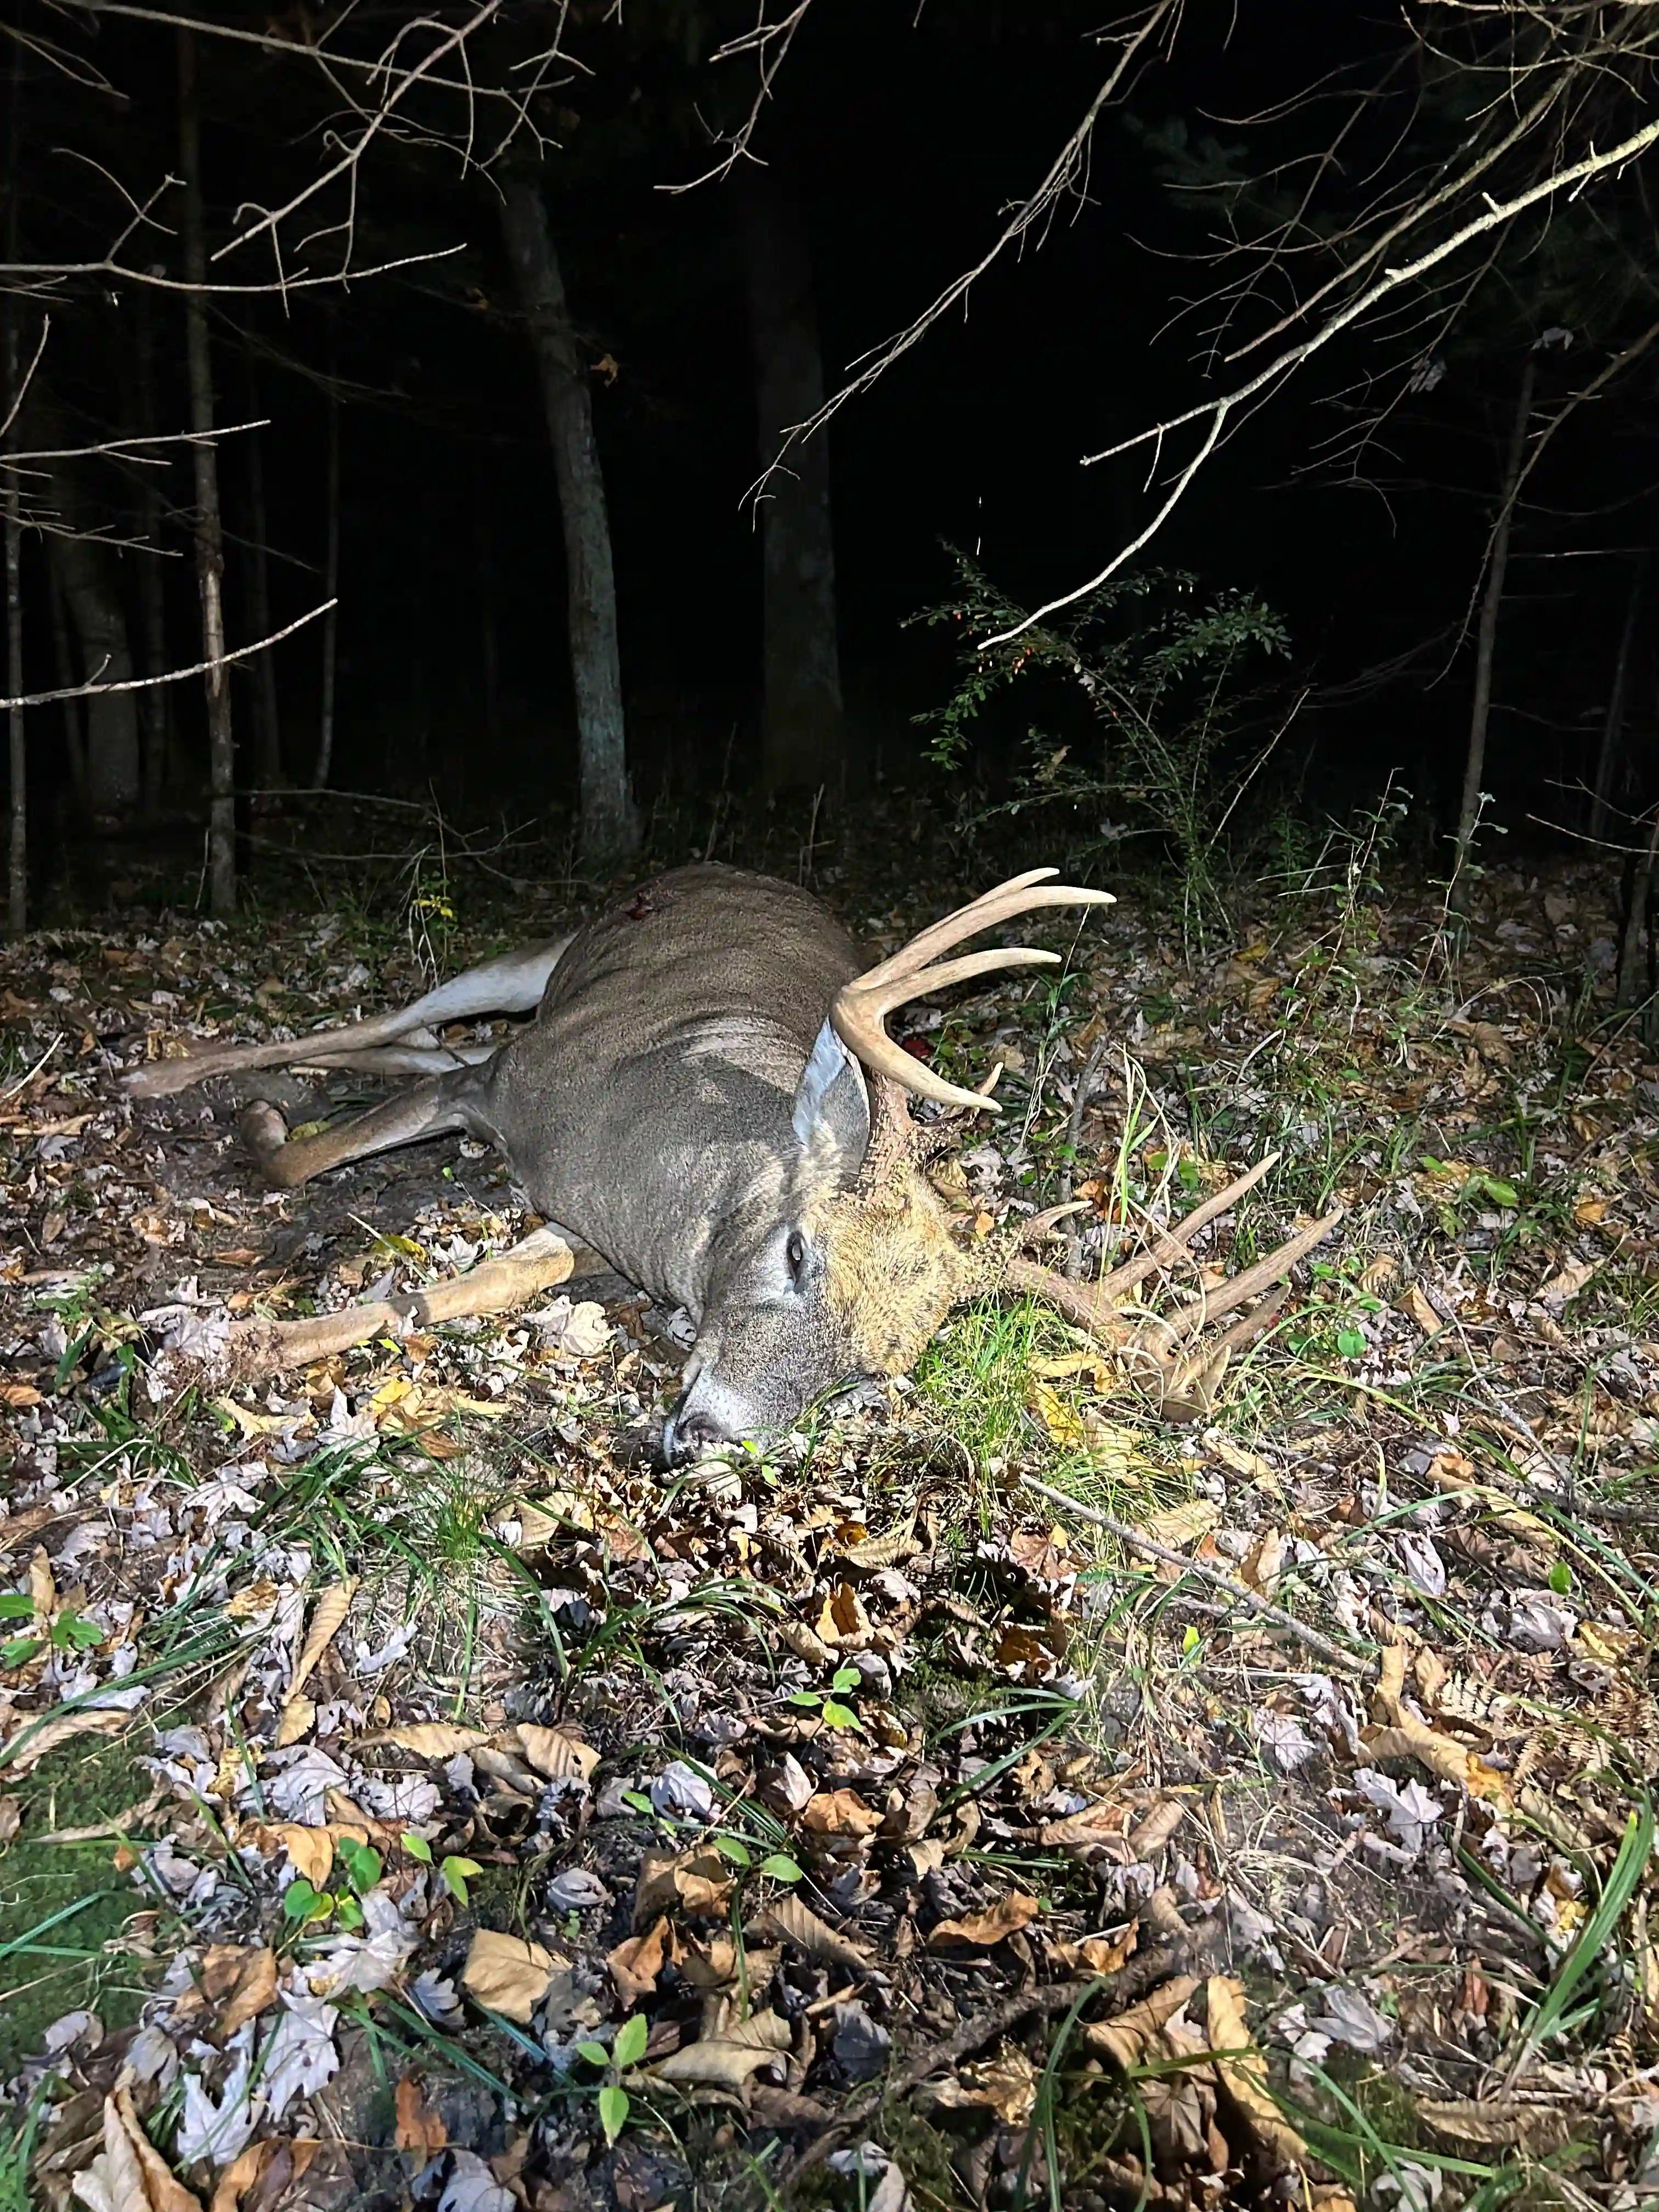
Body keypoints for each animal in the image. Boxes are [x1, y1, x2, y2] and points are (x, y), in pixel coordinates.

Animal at [124, 865, 1340, 1455]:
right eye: (799, 1253)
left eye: (872, 1375)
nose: (705, 1436)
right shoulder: (510, 1078)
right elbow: (297, 1170)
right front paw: (252, 1156)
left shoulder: (575, 1229)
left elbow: (463, 1288)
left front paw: (236, 1351)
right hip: (533, 965)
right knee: (401, 1016)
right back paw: (166, 1074)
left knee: (416, 1036)